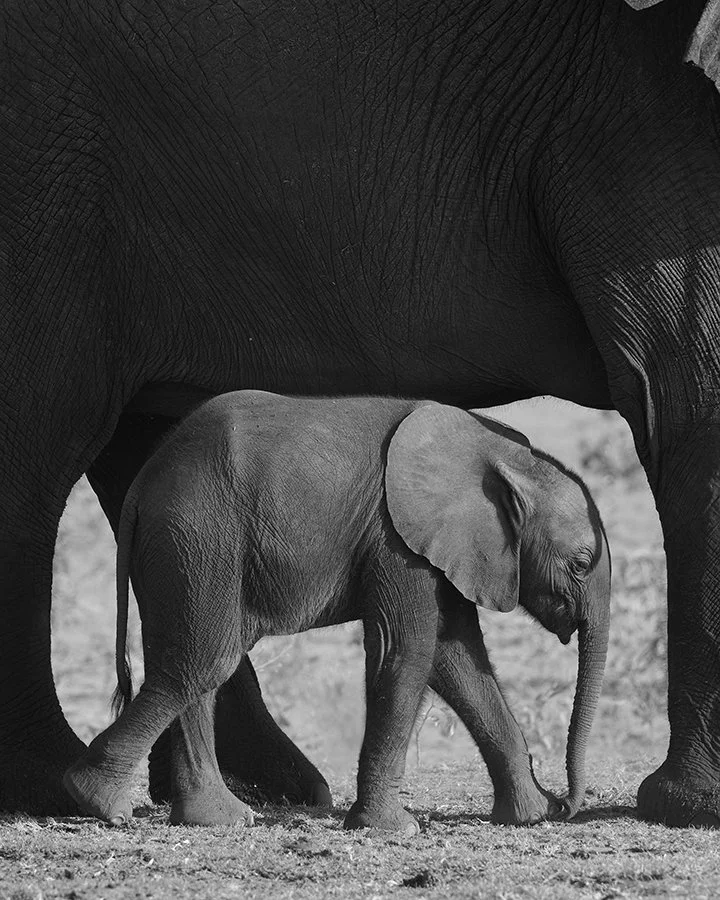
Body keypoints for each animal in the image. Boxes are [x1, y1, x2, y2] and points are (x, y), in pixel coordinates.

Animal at [63, 392, 610, 830]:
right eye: (581, 564)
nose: (567, 806)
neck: (502, 453)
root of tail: (143, 484)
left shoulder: (447, 547)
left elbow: (457, 659)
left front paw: (529, 815)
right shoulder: (398, 540)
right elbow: (407, 653)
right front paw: (391, 829)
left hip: (182, 548)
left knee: (194, 664)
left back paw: (217, 820)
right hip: (198, 537)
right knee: (203, 661)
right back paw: (98, 802)